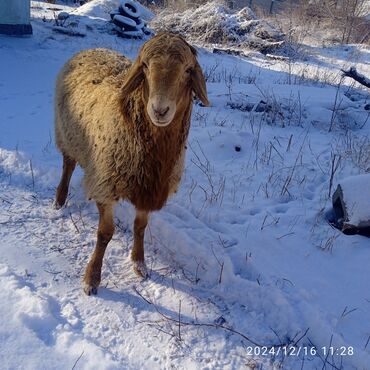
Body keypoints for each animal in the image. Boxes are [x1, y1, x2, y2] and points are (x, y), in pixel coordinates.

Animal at [53, 33, 210, 296]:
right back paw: (59, 200)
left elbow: (140, 226)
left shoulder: (148, 188)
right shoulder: (106, 183)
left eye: (188, 70)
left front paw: (139, 264)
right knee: (68, 165)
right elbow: (105, 233)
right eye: (145, 66)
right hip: (66, 133)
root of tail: (93, 48)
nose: (160, 110)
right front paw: (91, 279)